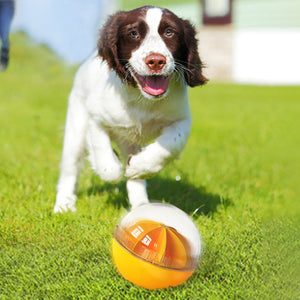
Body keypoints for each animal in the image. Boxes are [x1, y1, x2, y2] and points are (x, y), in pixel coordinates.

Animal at [54, 4, 207, 211]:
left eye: (170, 32)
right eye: (133, 33)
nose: (156, 61)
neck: (141, 99)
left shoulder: (181, 120)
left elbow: (171, 145)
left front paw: (139, 167)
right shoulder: (95, 118)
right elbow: (106, 163)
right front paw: (112, 164)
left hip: (131, 142)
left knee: (135, 180)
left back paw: (141, 205)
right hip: (76, 126)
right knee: (70, 168)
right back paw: (64, 205)